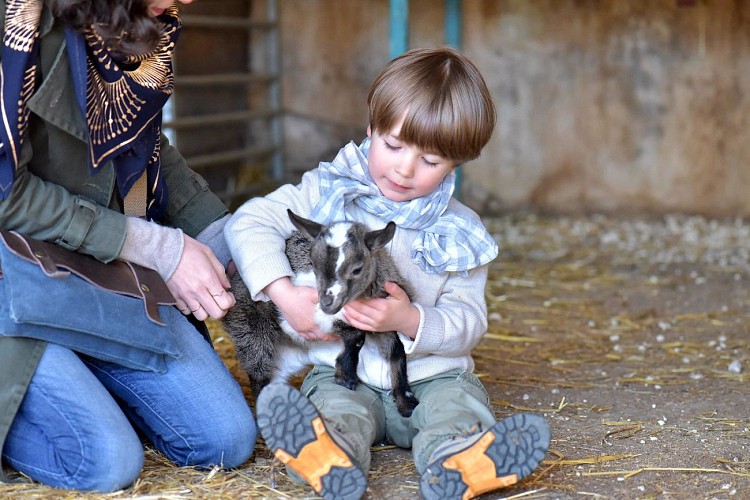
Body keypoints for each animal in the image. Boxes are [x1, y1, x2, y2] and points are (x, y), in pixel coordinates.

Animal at [223, 210, 424, 418]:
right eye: (312, 263)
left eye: (357, 269)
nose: (327, 302)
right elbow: (357, 336)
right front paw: (346, 376)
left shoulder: (388, 318)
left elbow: (398, 350)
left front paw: (406, 401)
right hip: (251, 330)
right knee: (259, 374)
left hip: (284, 356)